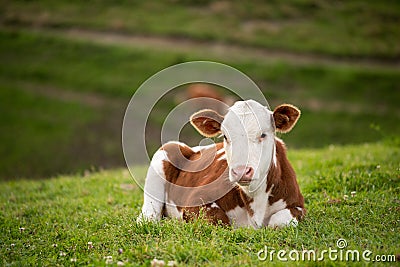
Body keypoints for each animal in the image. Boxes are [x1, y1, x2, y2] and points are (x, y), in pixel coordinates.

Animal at [139, 99, 304, 229]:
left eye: (263, 134)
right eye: (225, 136)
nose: (241, 171)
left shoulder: (298, 205)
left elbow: (280, 220)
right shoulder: (194, 200)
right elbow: (218, 220)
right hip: (165, 152)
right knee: (148, 215)